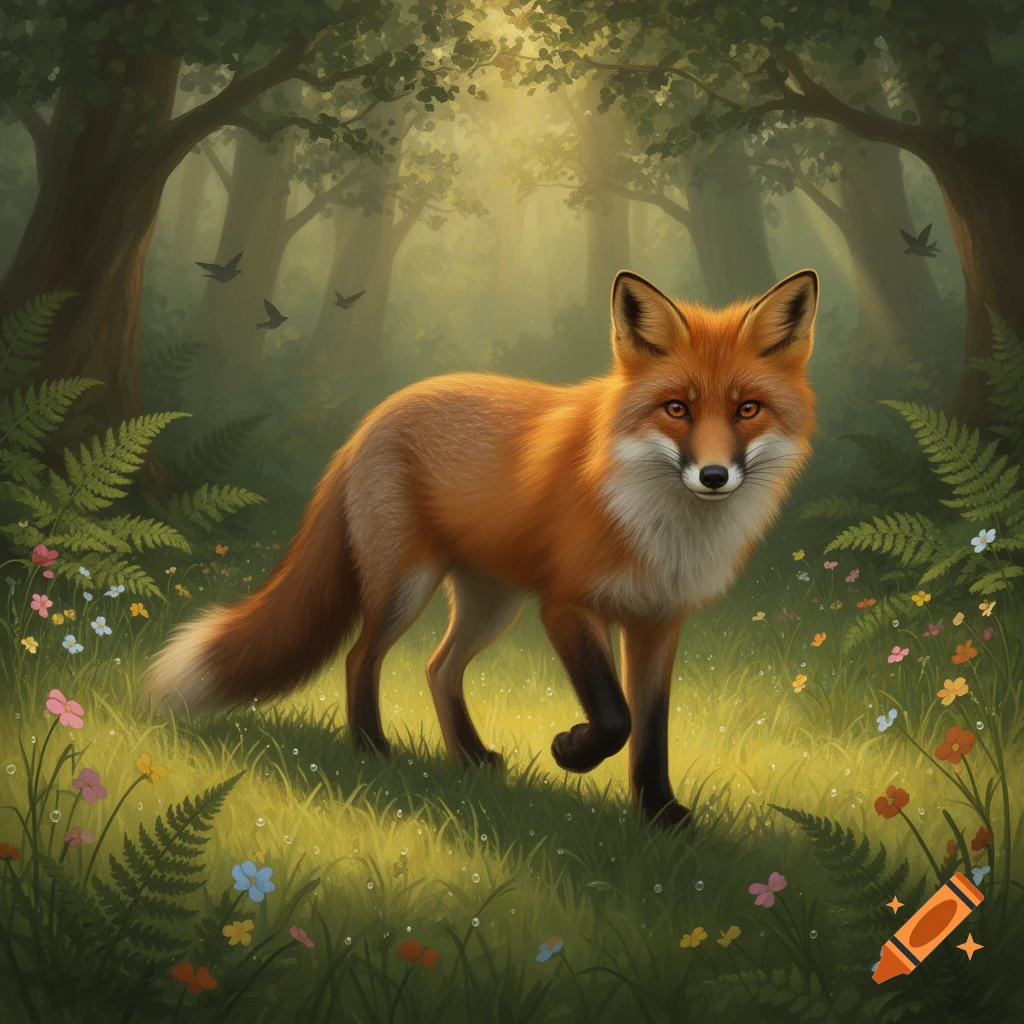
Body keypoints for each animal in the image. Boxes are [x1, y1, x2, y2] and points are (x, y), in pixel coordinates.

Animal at [146, 268, 819, 829]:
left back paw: (468, 758)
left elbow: (651, 730)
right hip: (408, 587)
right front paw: (572, 753)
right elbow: (615, 718)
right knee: (362, 657)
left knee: (438, 667)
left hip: (492, 605)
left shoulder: (657, 621)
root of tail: (370, 420)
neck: (664, 530)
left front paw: (659, 814)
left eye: (748, 409)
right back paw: (372, 750)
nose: (714, 476)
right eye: (676, 408)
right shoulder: (566, 606)